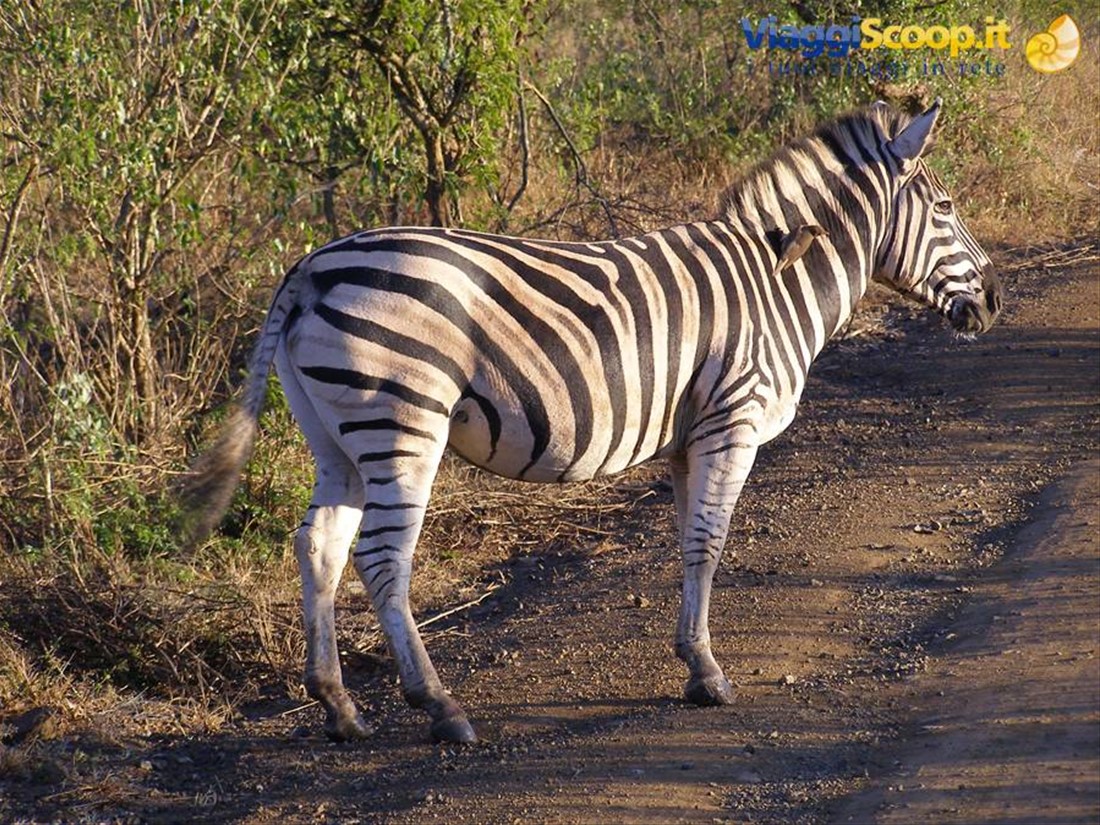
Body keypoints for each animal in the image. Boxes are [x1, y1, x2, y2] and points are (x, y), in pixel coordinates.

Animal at [184, 98, 1002, 745]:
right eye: (947, 209)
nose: (994, 303)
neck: (778, 279)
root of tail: (309, 268)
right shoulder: (731, 420)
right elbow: (710, 542)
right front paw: (710, 675)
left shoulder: (689, 436)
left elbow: (690, 543)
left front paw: (691, 658)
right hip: (402, 422)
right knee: (382, 558)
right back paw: (440, 707)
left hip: (334, 436)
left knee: (318, 545)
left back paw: (339, 708)